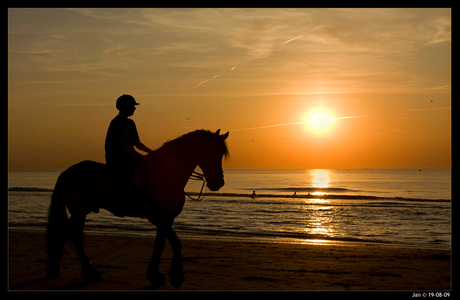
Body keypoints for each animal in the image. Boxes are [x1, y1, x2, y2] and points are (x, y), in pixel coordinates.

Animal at [45, 129, 229, 288]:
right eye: (209, 152)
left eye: (220, 154)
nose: (218, 184)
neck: (165, 174)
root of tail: (67, 172)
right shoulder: (156, 217)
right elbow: (175, 242)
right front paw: (176, 276)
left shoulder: (166, 218)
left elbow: (161, 244)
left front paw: (156, 274)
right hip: (79, 211)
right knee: (72, 236)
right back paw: (83, 271)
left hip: (80, 212)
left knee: (70, 234)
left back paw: (73, 270)